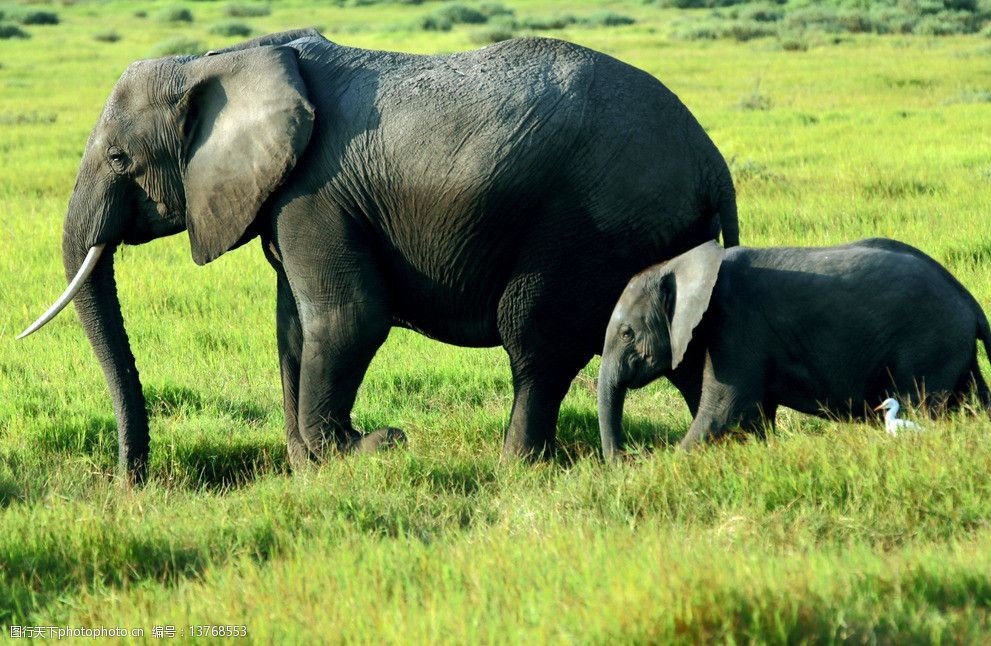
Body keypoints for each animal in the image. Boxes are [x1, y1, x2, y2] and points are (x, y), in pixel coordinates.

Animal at [21, 30, 736, 484]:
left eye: (120, 159)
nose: (130, 482)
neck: (218, 60)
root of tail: (710, 160)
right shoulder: (288, 200)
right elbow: (293, 328)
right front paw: (308, 471)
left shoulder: (313, 194)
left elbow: (347, 318)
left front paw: (367, 450)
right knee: (681, 347)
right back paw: (716, 451)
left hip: (588, 227)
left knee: (536, 341)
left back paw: (515, 469)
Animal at [596, 239, 991, 460]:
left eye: (627, 334)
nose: (627, 460)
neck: (679, 263)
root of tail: (969, 302)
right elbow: (754, 417)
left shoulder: (735, 323)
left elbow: (721, 410)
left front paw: (663, 466)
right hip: (952, 348)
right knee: (972, 400)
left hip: (929, 343)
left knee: (919, 401)